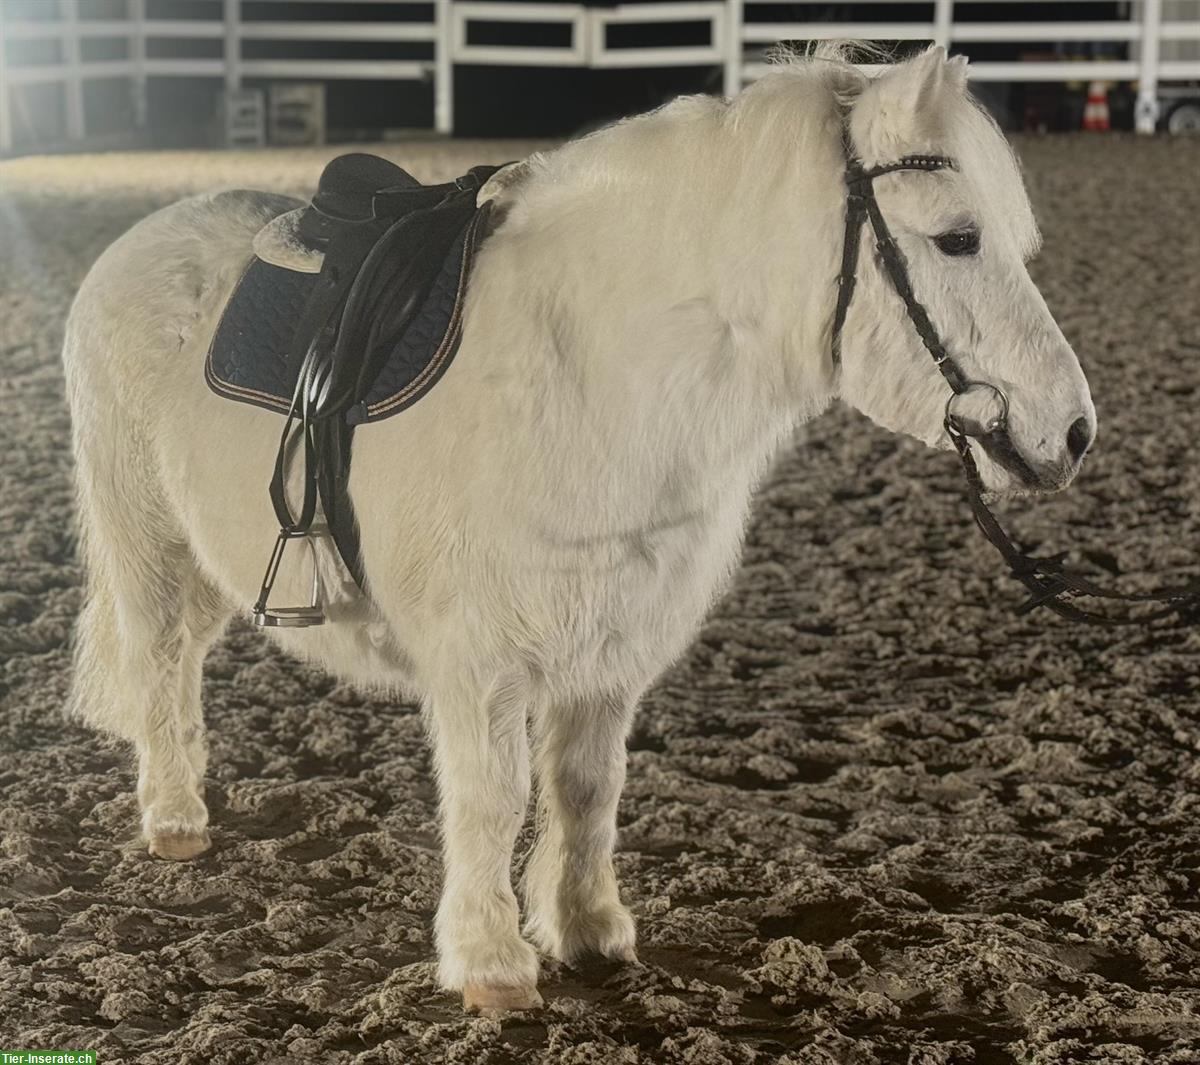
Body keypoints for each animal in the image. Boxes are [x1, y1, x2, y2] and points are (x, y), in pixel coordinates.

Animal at [61, 46, 1094, 1013]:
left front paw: (589, 929)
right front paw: (490, 960)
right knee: (156, 660)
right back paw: (173, 818)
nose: (1074, 431)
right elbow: (492, 795)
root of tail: (135, 244)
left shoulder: (609, 649)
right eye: (957, 239)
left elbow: (588, 787)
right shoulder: (480, 659)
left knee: (181, 665)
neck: (589, 371)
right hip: (144, 545)